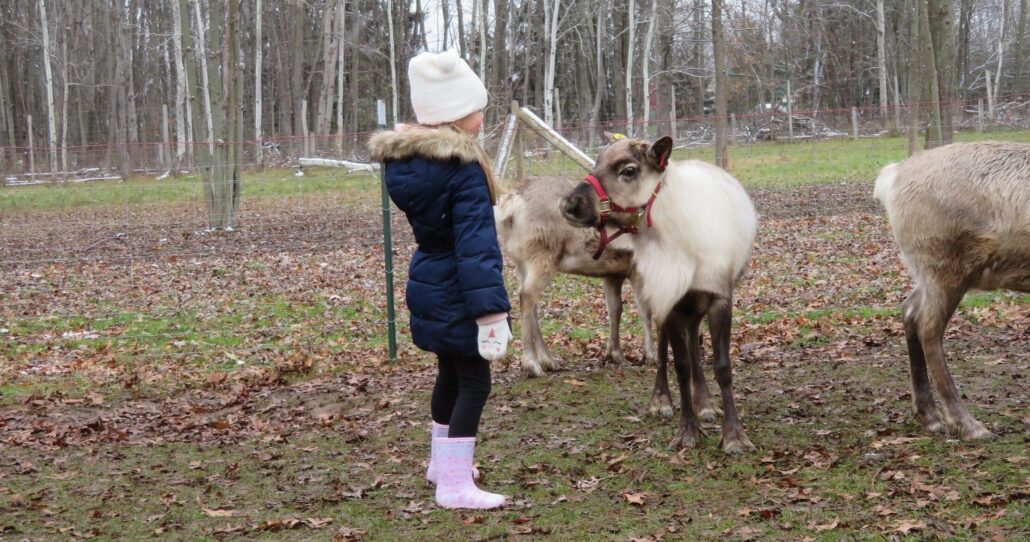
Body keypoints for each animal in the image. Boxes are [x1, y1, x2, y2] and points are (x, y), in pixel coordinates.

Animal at [559, 136, 758, 454]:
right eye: (596, 162)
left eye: (628, 170)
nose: (569, 204)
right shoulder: (670, 300)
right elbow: (680, 365)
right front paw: (687, 432)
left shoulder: (719, 298)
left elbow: (722, 368)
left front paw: (734, 436)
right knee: (666, 349)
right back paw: (661, 400)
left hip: (695, 307)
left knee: (695, 344)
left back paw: (705, 403)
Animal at [874, 141, 1030, 440]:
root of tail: (891, 178)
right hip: (946, 267)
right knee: (928, 327)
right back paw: (966, 423)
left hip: (927, 273)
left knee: (909, 310)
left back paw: (930, 417)